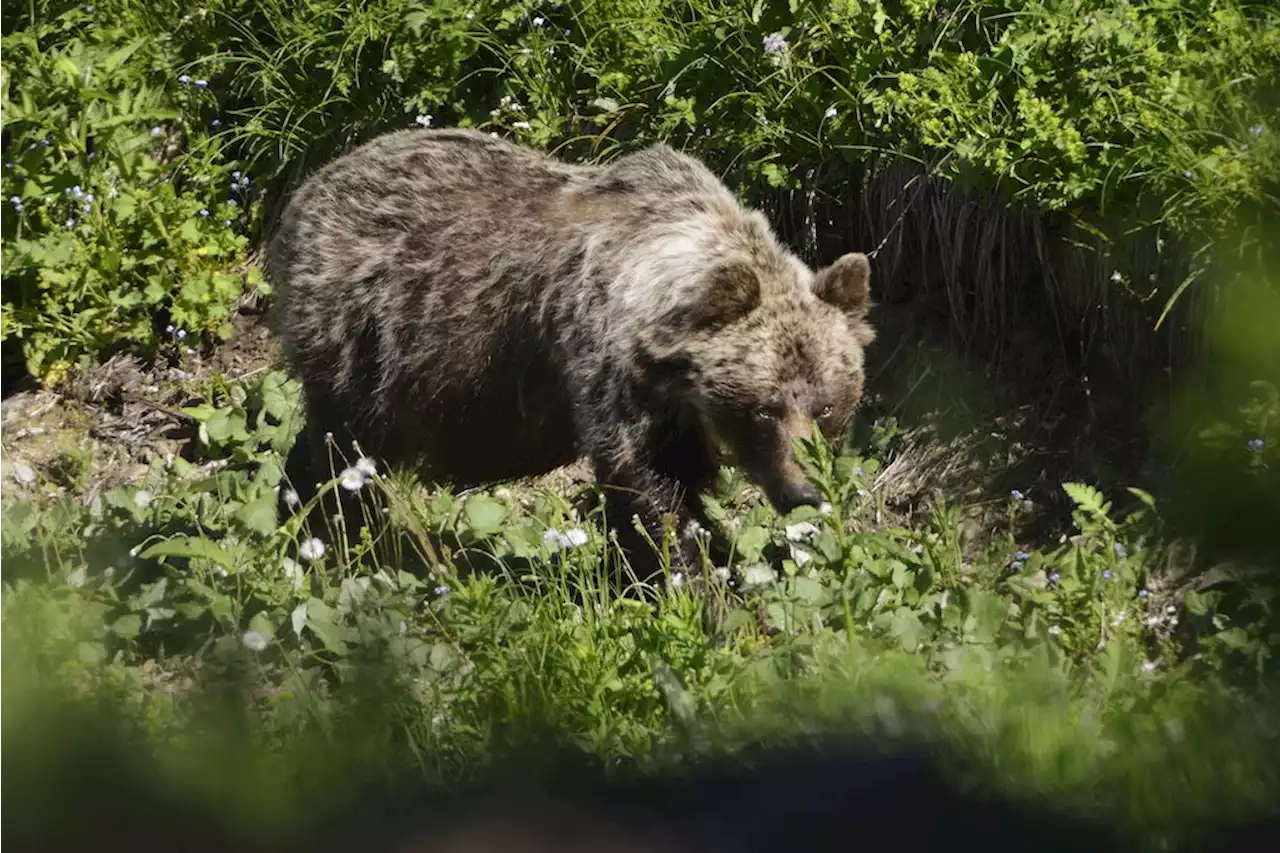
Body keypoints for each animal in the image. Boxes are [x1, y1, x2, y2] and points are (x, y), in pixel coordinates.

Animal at [264, 126, 875, 584]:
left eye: (826, 405)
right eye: (764, 409)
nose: (805, 492)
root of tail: (306, 190)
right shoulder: (608, 366)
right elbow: (649, 488)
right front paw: (696, 582)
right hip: (369, 336)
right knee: (341, 450)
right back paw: (323, 537)